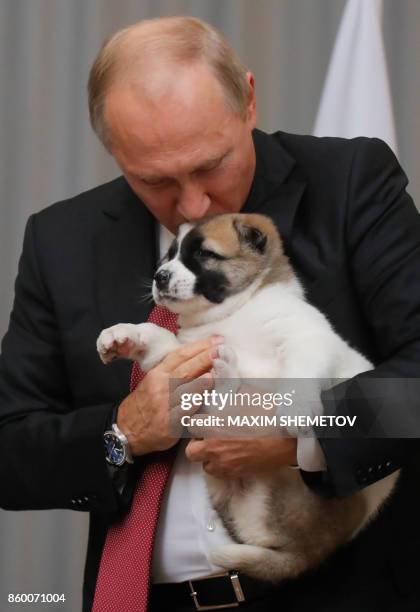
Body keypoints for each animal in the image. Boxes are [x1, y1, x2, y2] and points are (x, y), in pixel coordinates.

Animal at [97, 214, 398, 584]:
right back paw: (225, 369)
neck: (233, 315)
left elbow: (301, 368)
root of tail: (311, 553)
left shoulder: (306, 336)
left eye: (203, 254)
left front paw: (295, 408)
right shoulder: (185, 356)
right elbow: (157, 337)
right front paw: (123, 335)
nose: (160, 275)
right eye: (170, 255)